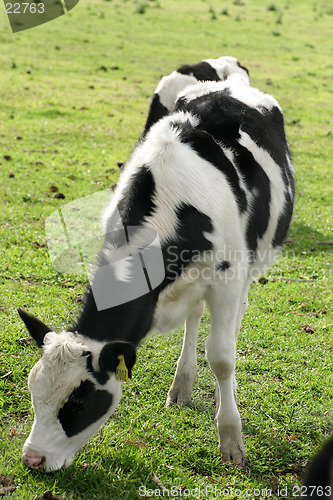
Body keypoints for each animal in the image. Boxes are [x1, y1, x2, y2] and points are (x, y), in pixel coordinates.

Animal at [18, 72, 294, 470]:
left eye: (79, 402)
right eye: (33, 389)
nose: (32, 459)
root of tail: (228, 83)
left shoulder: (227, 276)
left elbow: (222, 357)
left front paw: (231, 439)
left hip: (252, 261)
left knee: (232, 319)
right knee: (194, 318)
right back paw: (182, 384)